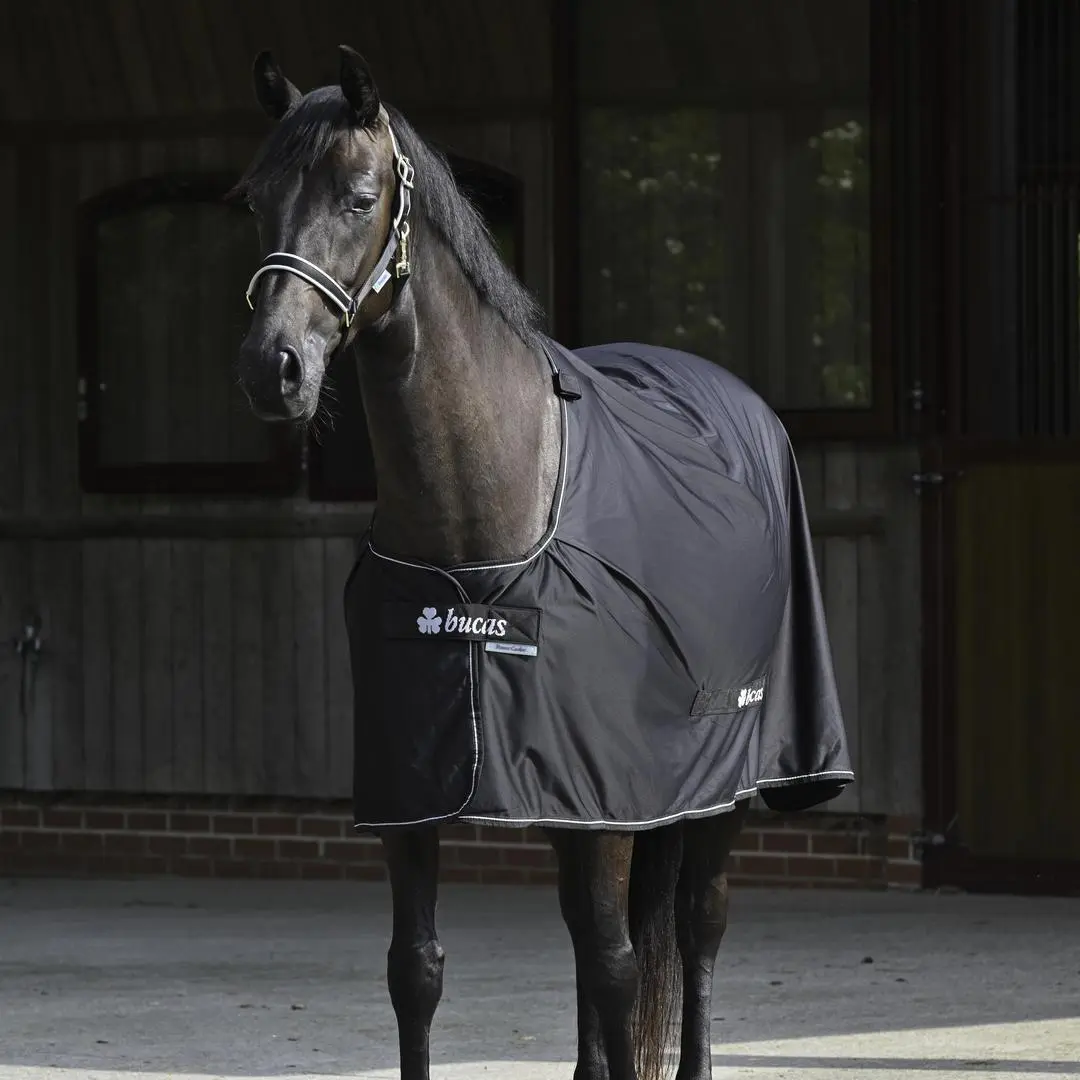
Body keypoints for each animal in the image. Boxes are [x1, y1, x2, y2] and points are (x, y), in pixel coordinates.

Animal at [233, 45, 853, 1080]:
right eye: (253, 200)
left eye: (359, 197)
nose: (271, 367)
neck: (483, 517)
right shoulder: (415, 796)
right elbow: (417, 971)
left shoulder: (607, 799)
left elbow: (615, 967)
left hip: (726, 780)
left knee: (693, 928)